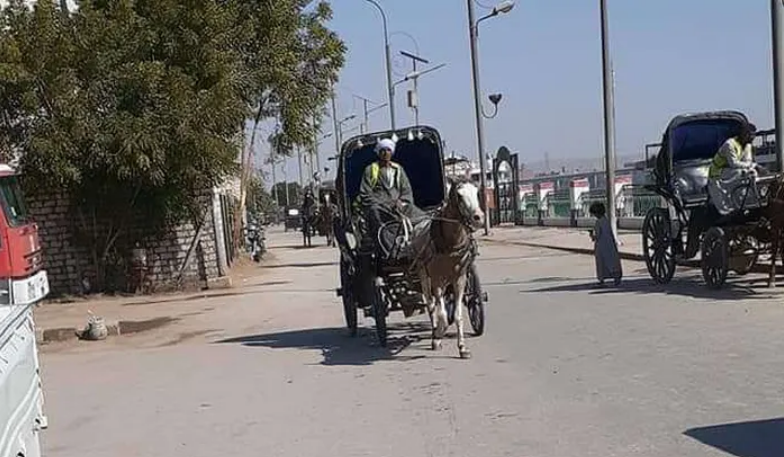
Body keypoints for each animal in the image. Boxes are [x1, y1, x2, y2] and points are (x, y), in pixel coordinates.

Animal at [416, 178, 484, 360]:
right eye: (459, 195)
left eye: (477, 191)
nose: (479, 217)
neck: (450, 244)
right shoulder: (437, 280)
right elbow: (443, 316)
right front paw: (438, 336)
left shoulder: (460, 279)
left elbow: (458, 315)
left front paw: (462, 348)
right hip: (423, 275)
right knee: (431, 304)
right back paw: (435, 332)